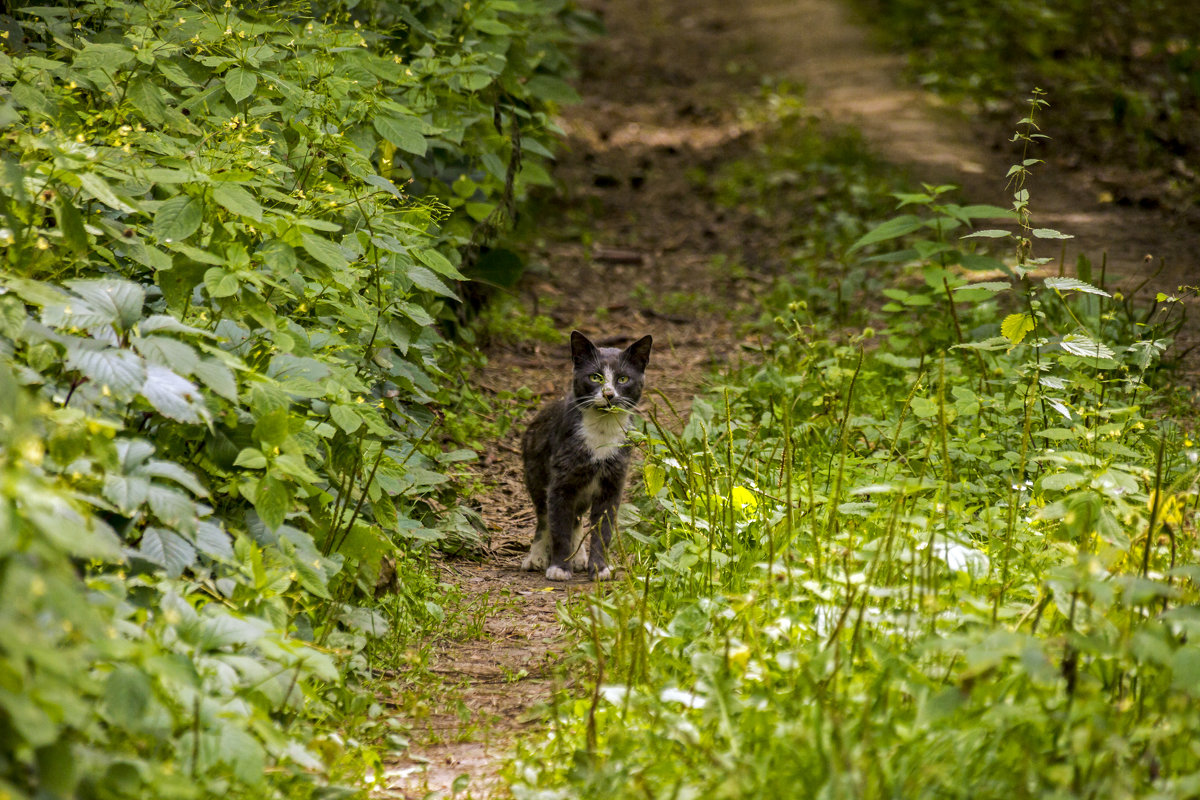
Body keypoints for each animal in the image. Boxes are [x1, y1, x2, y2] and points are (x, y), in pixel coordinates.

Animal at [520, 331, 652, 582]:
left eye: (623, 379)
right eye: (595, 377)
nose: (609, 394)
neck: (602, 431)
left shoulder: (613, 484)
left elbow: (603, 532)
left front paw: (600, 568)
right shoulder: (561, 481)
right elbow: (558, 527)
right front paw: (559, 568)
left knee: (576, 518)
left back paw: (578, 556)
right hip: (536, 473)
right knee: (544, 516)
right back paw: (537, 556)